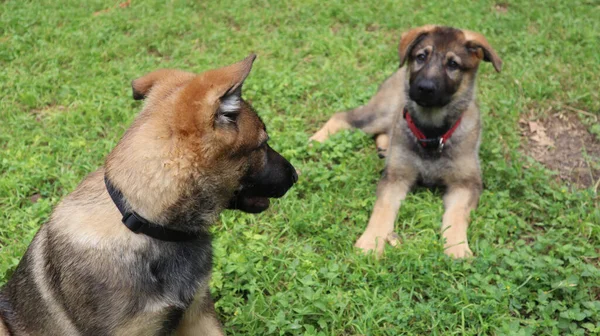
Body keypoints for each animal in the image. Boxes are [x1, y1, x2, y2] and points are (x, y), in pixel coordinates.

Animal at [310, 25, 502, 258]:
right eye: (421, 57)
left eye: (453, 64)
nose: (425, 88)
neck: (431, 133)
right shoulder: (395, 178)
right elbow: (382, 210)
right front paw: (370, 242)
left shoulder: (466, 184)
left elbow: (456, 214)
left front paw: (456, 247)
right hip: (379, 114)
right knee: (343, 117)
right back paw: (316, 140)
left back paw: (384, 147)